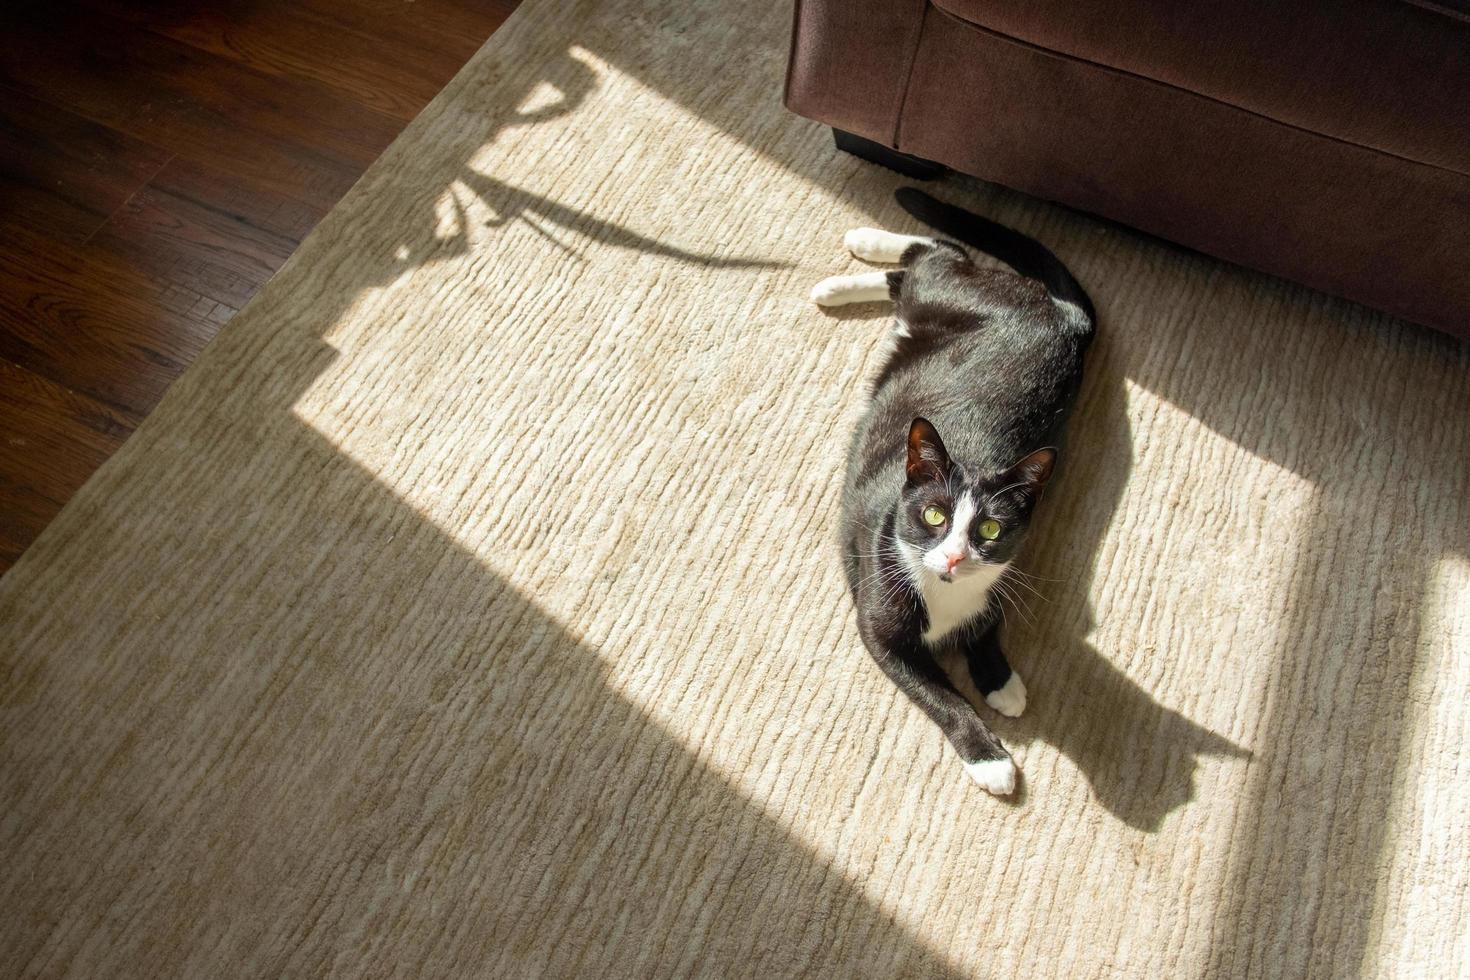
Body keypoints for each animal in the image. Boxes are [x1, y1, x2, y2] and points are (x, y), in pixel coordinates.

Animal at [817, 188, 1093, 793]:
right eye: (934, 516)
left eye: (990, 527)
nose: (953, 556)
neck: (944, 595)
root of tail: (1068, 321)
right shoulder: (879, 627)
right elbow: (939, 694)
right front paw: (989, 758)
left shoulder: (998, 583)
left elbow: (987, 629)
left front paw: (1001, 681)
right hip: (942, 295)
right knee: (935, 258)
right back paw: (858, 250)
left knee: (930, 265)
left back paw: (850, 271)